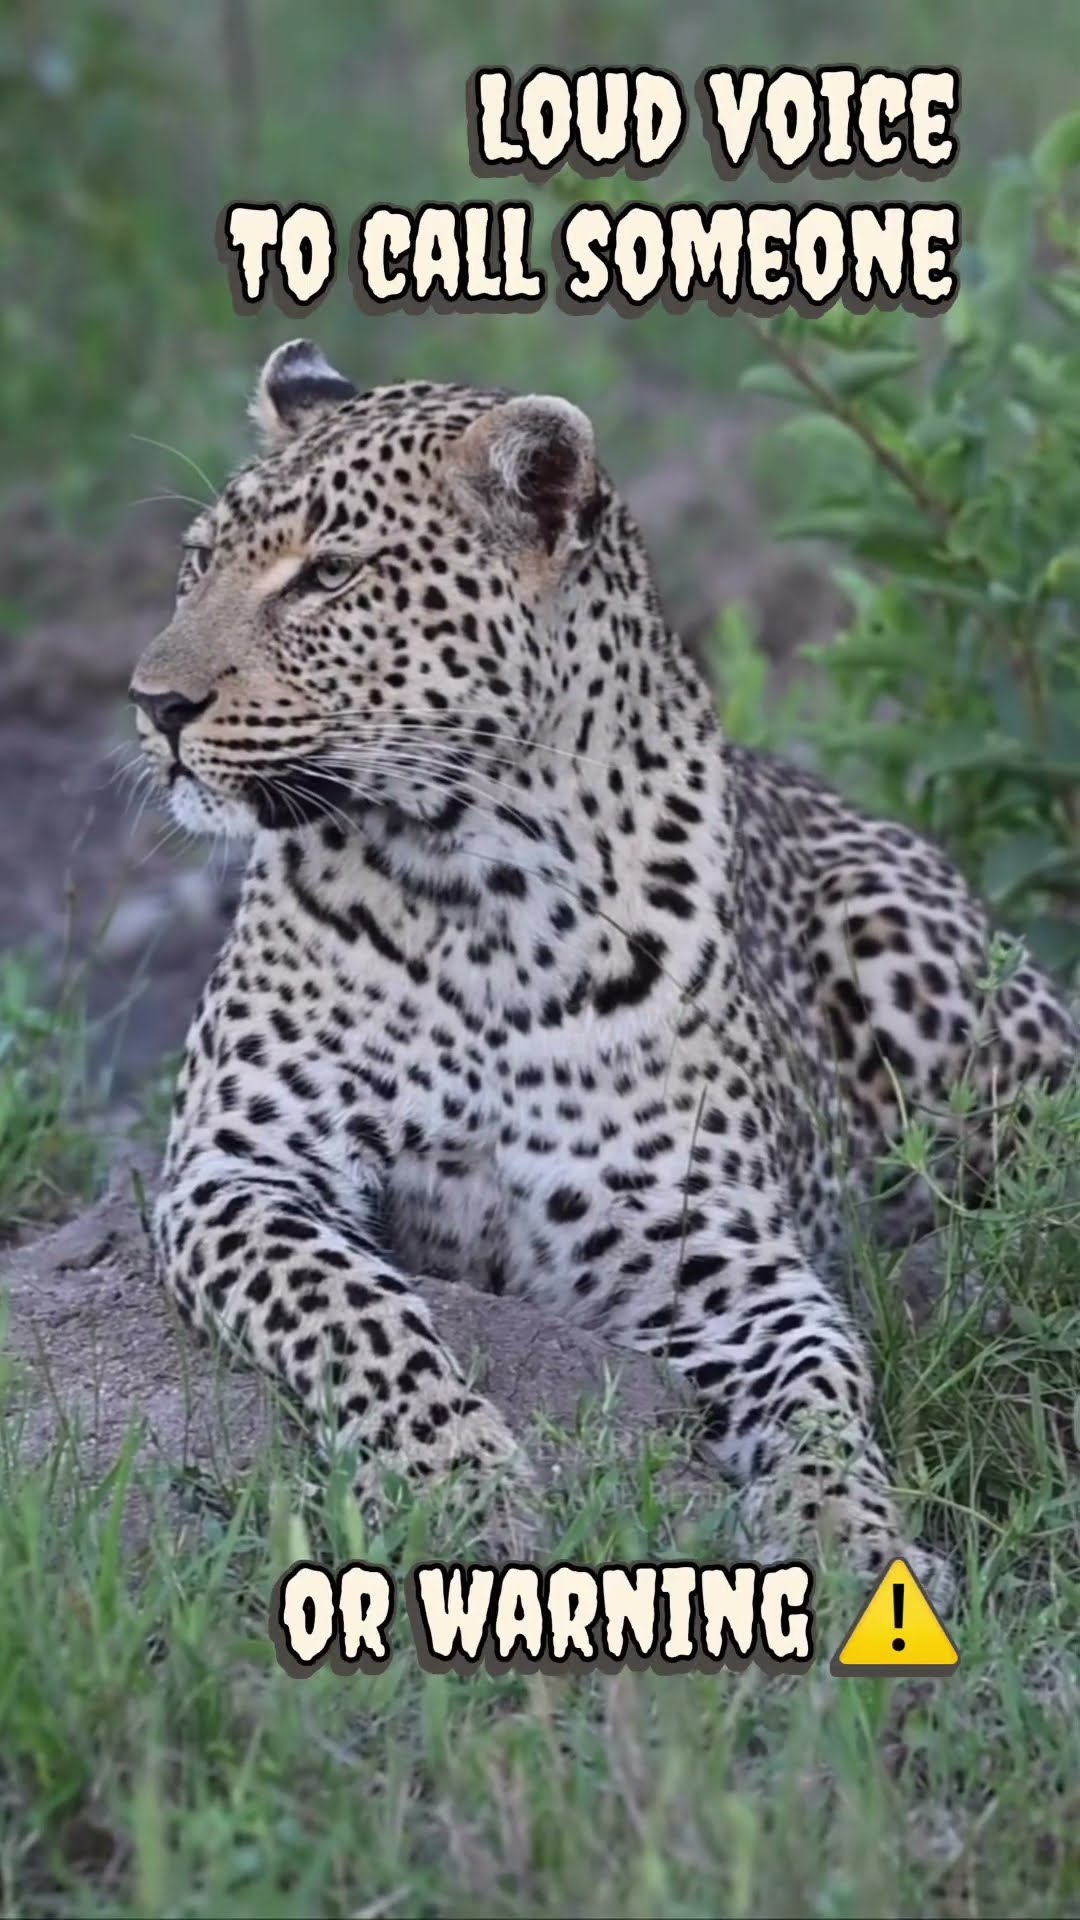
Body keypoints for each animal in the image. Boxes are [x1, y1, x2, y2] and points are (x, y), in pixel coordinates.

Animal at [130, 338, 1077, 1603]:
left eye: (328, 575)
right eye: (197, 566)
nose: (155, 705)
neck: (474, 880)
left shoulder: (708, 1249)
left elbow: (824, 1387)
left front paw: (851, 1541)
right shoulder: (240, 1172)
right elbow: (360, 1311)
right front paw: (460, 1486)